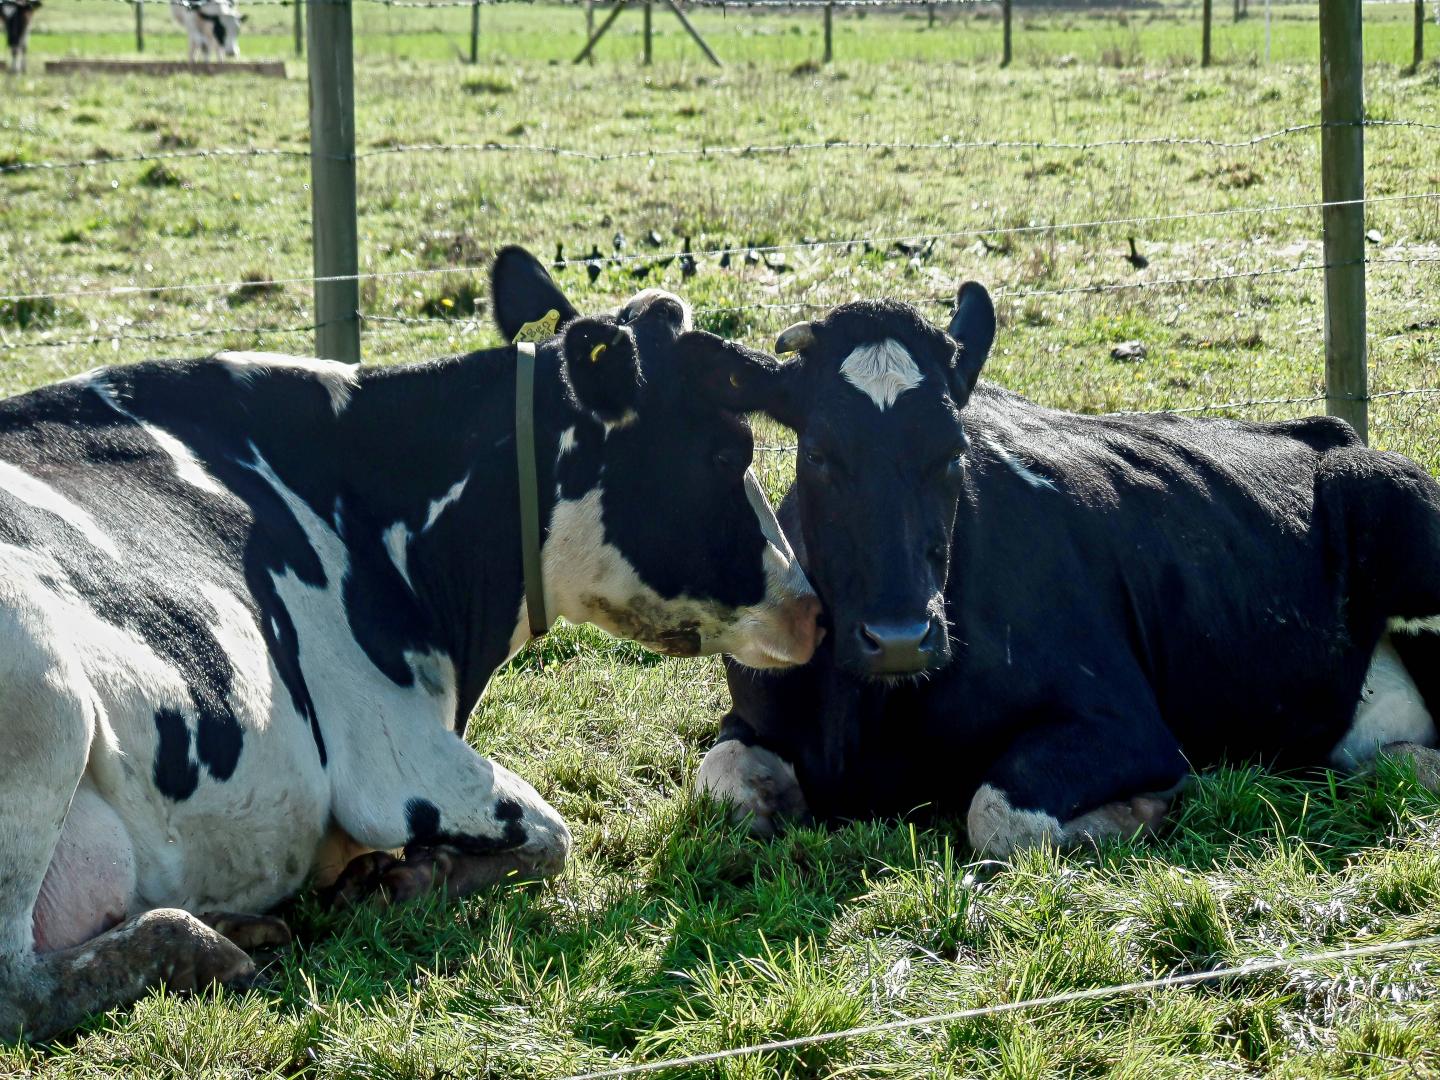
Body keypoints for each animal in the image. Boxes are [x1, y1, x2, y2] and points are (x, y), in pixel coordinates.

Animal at [0, 246, 821, 1041]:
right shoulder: (393, 762)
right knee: (21, 988)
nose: (813, 610)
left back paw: (240, 922)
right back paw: (209, 947)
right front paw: (406, 880)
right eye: (728, 453)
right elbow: (553, 837)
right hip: (44, 705)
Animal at [696, 288, 1440, 853]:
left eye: (953, 451)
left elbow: (998, 814)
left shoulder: (1129, 725)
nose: (901, 638)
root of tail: (1330, 433)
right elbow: (716, 780)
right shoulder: (753, 716)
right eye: (818, 453)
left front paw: (1142, 811)